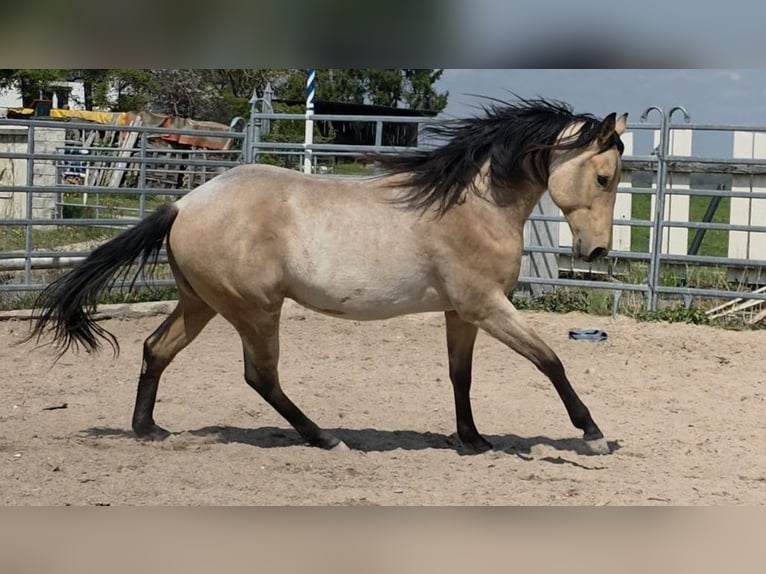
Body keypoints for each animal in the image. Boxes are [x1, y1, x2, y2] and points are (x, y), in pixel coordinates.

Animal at [28, 97, 628, 455]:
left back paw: (148, 429)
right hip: (254, 310)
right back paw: (324, 438)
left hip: (202, 303)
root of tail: (184, 203)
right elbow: (550, 359)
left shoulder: (463, 312)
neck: (473, 205)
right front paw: (593, 433)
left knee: (156, 348)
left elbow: (461, 376)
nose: (596, 250)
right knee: (260, 376)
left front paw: (473, 440)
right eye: (604, 177)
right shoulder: (486, 306)